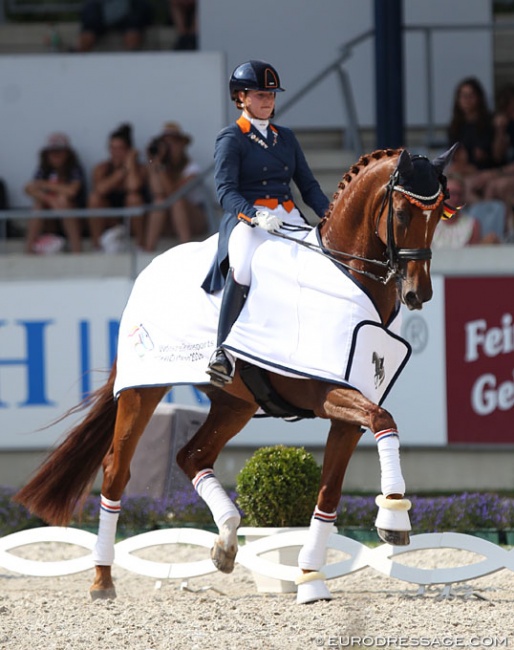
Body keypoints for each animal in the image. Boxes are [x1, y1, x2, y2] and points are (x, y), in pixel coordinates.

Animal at [14, 147, 454, 604]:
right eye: (401, 213)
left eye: (440, 213)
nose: (418, 294)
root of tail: (150, 270)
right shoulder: (327, 394)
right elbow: (385, 422)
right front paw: (394, 518)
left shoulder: (349, 410)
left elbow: (332, 490)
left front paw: (311, 578)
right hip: (143, 392)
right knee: (117, 469)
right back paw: (102, 579)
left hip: (235, 403)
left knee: (192, 457)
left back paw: (225, 542)